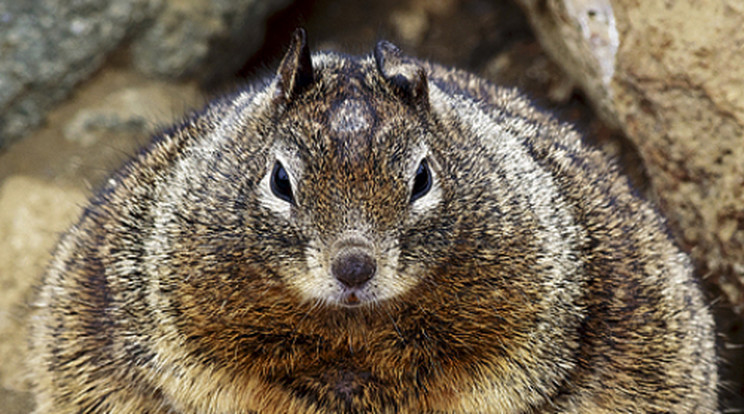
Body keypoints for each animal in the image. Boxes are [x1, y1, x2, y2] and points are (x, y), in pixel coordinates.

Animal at [30, 29, 720, 414]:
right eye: (279, 180)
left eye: (423, 178)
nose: (354, 266)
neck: (353, 334)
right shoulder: (181, 328)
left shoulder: (530, 321)